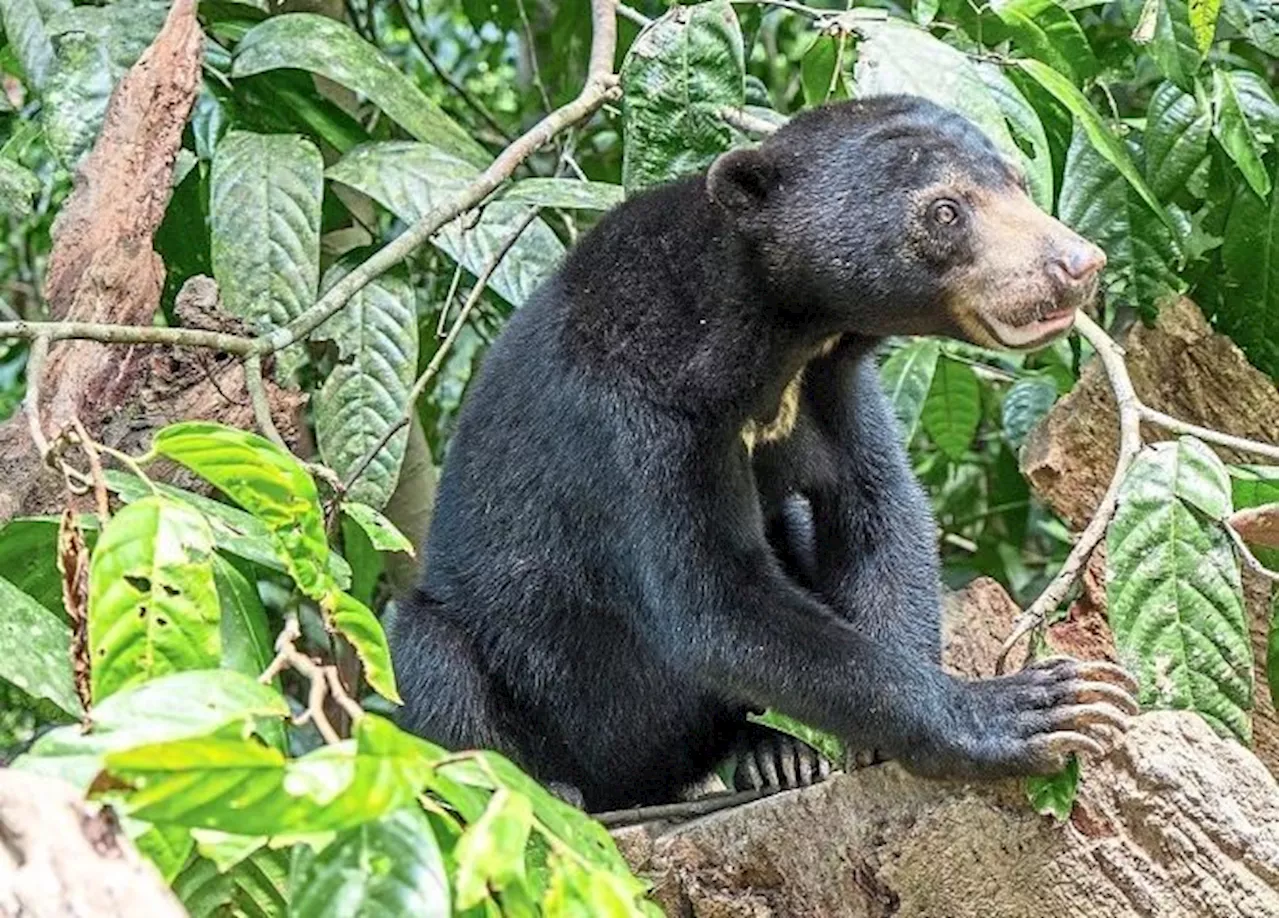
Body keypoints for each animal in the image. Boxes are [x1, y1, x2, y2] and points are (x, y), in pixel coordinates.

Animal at [384, 94, 1136, 809]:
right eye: (945, 210)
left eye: (1018, 178)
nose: (1078, 264)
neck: (775, 339)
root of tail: (633, 785)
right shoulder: (639, 416)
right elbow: (714, 603)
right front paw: (1037, 707)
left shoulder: (831, 388)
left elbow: (877, 514)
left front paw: (874, 745)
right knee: (433, 656)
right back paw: (544, 785)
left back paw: (775, 754)